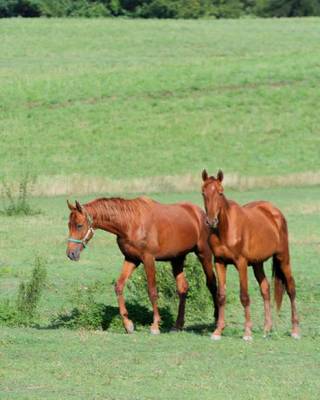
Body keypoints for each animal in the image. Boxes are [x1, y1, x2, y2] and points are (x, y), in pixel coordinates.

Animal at [66, 197, 219, 334]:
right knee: (183, 288)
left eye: (79, 225)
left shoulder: (148, 259)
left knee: (212, 284)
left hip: (204, 254)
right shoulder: (131, 259)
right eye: (69, 225)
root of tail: (200, 214)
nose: (71, 254)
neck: (130, 222)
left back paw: (217, 320)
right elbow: (119, 286)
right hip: (177, 259)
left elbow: (152, 291)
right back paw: (177, 326)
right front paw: (128, 325)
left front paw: (155, 326)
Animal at [201, 169, 298, 340]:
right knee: (265, 289)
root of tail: (274, 212)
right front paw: (218, 331)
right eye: (203, 193)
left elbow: (244, 296)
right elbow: (221, 296)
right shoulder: (219, 262)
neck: (225, 229)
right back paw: (266, 329)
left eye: (220, 192)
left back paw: (295, 330)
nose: (211, 221)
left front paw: (247, 332)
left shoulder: (241, 263)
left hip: (283, 258)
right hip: (257, 263)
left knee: (291, 288)